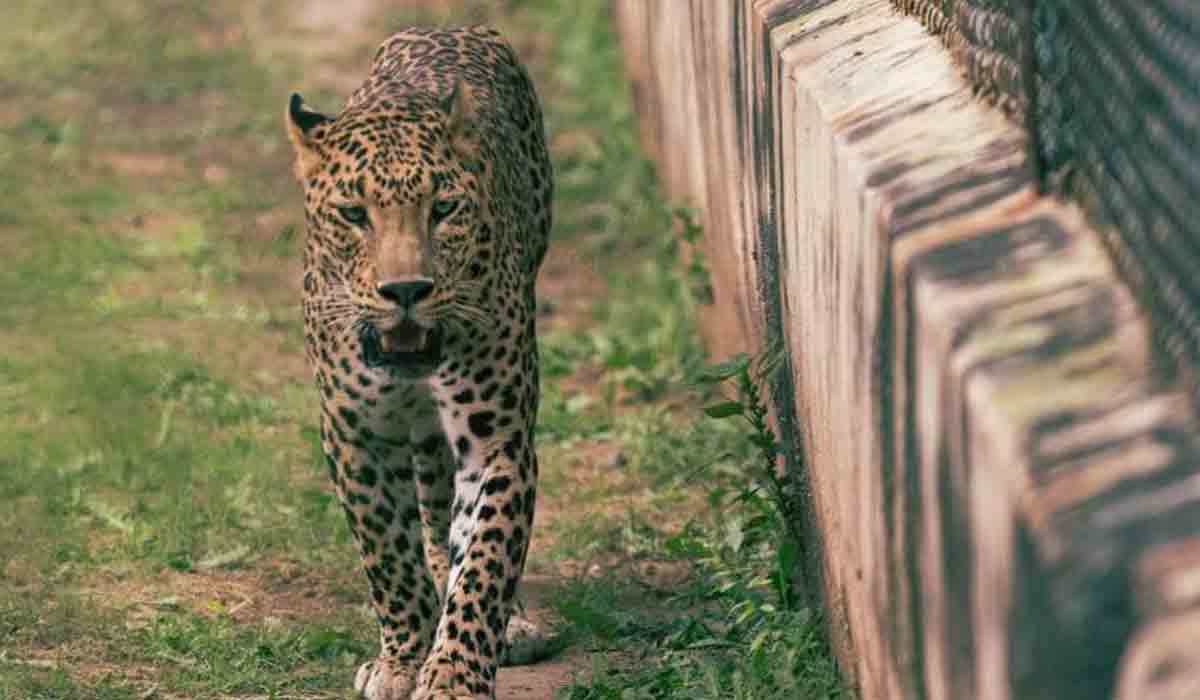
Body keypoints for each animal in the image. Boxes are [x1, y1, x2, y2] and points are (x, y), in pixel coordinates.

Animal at [284, 25, 552, 700]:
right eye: (354, 214)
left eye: (444, 210)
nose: (405, 290)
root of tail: (453, 29)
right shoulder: (354, 436)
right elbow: (389, 557)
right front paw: (402, 660)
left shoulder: (497, 441)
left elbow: (484, 563)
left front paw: (454, 672)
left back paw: (510, 623)